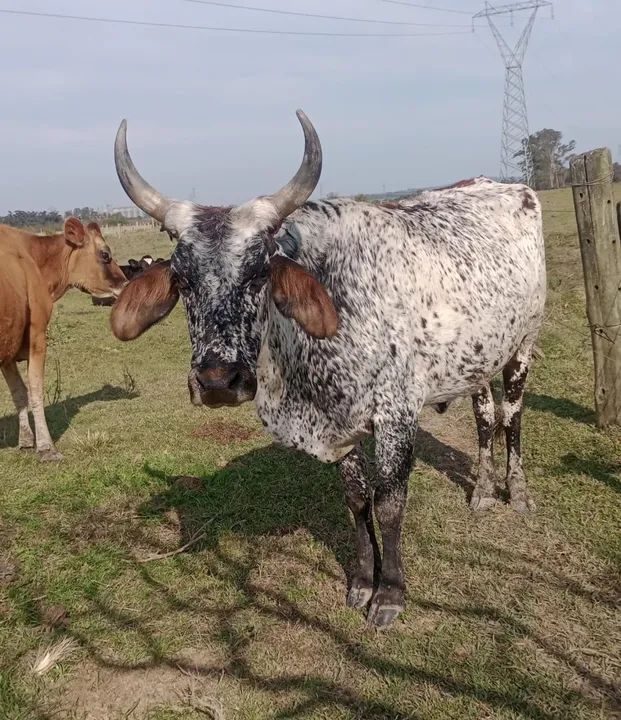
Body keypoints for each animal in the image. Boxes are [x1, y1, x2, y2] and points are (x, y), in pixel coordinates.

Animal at [0, 219, 126, 461]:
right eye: (105, 254)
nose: (125, 284)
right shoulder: (37, 336)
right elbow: (35, 390)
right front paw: (46, 447)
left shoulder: (11, 343)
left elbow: (18, 392)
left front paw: (26, 441)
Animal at [109, 111, 546, 628]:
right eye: (181, 278)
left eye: (259, 272)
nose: (218, 381)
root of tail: (501, 185)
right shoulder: (342, 425)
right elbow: (357, 500)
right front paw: (361, 581)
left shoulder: (396, 416)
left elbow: (389, 504)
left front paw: (390, 592)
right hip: (479, 358)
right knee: (484, 417)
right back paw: (480, 490)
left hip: (523, 344)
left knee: (512, 417)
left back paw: (516, 493)